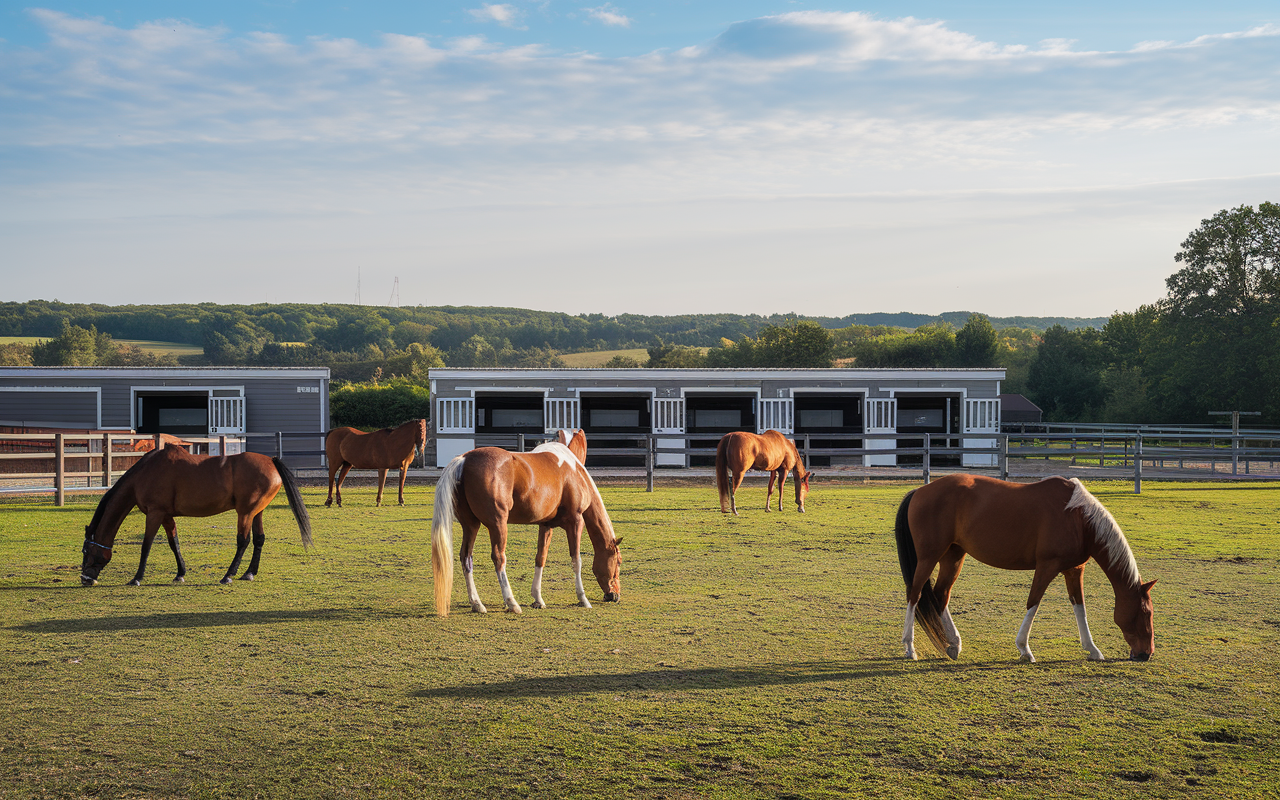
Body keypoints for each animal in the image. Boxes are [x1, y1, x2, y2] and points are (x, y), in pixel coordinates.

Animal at [81, 442, 313, 586]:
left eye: (86, 552)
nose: (85, 578)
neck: (145, 473)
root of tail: (270, 461)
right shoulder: (166, 516)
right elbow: (174, 543)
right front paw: (180, 574)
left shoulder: (155, 514)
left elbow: (146, 545)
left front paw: (137, 577)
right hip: (257, 512)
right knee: (259, 539)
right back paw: (248, 573)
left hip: (246, 512)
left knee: (243, 541)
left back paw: (228, 575)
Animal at [432, 427, 622, 614]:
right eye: (618, 561)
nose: (615, 596)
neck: (574, 471)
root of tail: (464, 459)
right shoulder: (576, 522)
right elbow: (576, 560)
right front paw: (583, 599)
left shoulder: (546, 525)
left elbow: (541, 558)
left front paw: (538, 599)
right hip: (498, 524)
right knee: (498, 557)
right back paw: (511, 603)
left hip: (471, 525)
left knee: (466, 558)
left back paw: (477, 604)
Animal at [896, 473, 1157, 660]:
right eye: (1146, 613)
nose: (1146, 654)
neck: (1079, 518)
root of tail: (920, 491)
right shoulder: (1047, 567)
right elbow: (1034, 602)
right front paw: (1024, 649)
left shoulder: (1074, 571)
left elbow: (1079, 608)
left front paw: (1092, 649)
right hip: (929, 557)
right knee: (914, 594)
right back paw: (910, 648)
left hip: (953, 556)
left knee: (941, 595)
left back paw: (954, 644)